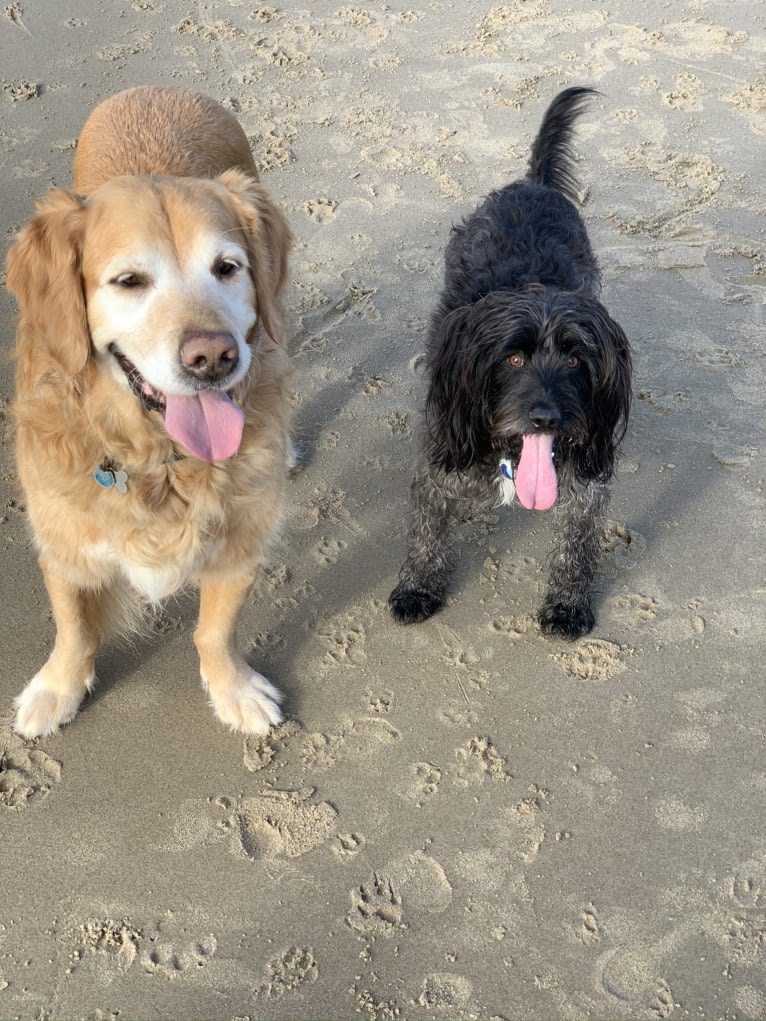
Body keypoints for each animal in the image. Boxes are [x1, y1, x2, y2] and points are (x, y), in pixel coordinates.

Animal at [6, 87, 294, 739]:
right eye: (130, 280)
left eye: (227, 268)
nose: (213, 357)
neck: (159, 459)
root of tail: (157, 89)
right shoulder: (64, 539)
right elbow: (75, 629)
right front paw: (56, 691)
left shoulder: (239, 540)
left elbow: (215, 631)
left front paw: (234, 689)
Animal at [392, 87, 633, 637]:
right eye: (515, 358)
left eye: (576, 361)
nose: (546, 418)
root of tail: (533, 183)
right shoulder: (439, 460)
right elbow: (426, 533)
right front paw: (418, 587)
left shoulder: (584, 481)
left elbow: (576, 543)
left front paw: (567, 602)